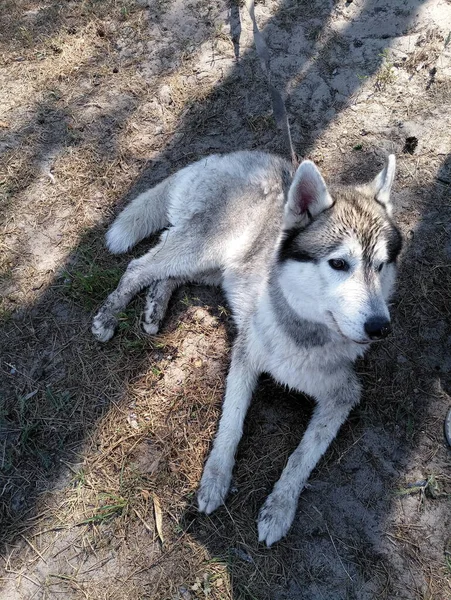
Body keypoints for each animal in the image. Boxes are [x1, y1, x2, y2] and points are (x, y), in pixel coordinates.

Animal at [92, 150, 402, 544]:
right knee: (139, 267)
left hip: (216, 267)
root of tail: (229, 156)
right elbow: (232, 422)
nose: (380, 327)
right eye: (338, 263)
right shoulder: (245, 356)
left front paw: (279, 508)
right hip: (204, 250)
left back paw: (154, 307)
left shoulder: (343, 394)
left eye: (381, 266)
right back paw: (109, 316)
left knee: (168, 275)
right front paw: (215, 479)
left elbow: (301, 457)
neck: (301, 330)